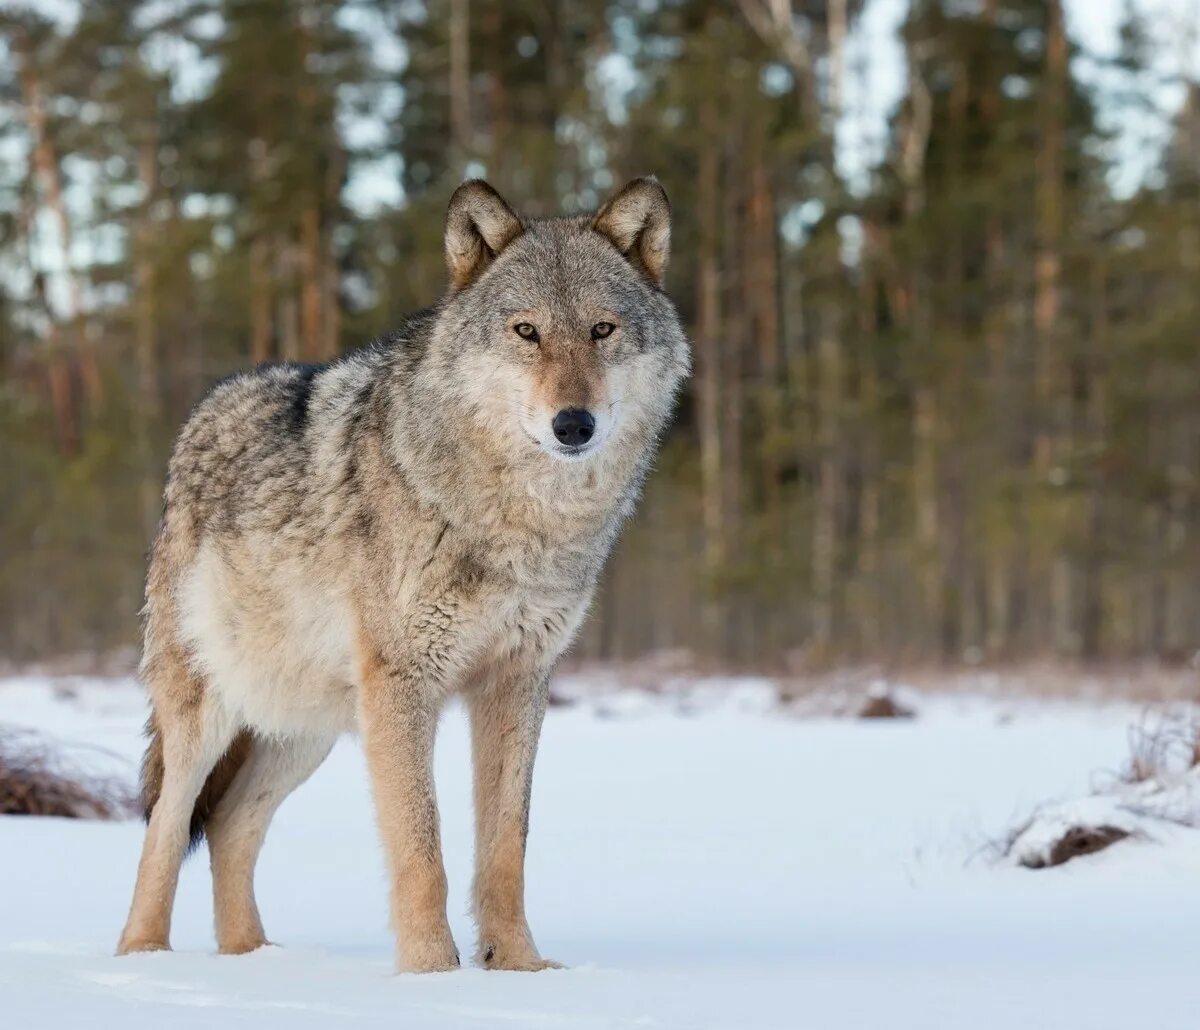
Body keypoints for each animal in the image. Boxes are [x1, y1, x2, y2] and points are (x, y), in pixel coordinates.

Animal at [117, 178, 696, 969]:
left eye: (602, 331)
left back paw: (253, 961)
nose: (573, 424)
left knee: (231, 827)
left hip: (308, 729)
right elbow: (423, 852)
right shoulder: (403, 684)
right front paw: (432, 973)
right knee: (166, 828)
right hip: (210, 715)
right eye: (526, 332)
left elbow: (505, 850)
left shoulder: (517, 682)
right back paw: (145, 958)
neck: (519, 526)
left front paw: (520, 968)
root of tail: (200, 416)